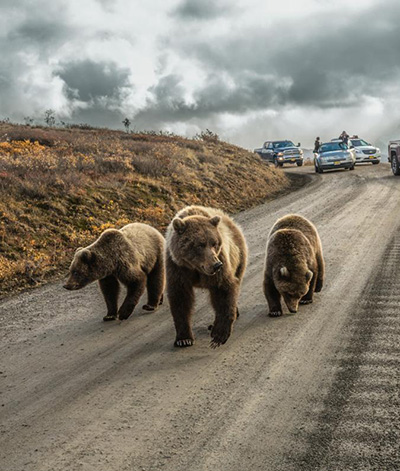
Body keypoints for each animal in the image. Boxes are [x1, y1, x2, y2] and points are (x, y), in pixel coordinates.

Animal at [166, 205, 247, 348]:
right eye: (200, 244)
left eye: (214, 243)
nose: (216, 265)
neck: (195, 268)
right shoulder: (177, 268)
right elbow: (180, 298)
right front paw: (184, 339)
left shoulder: (221, 262)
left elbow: (223, 290)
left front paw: (219, 335)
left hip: (238, 257)